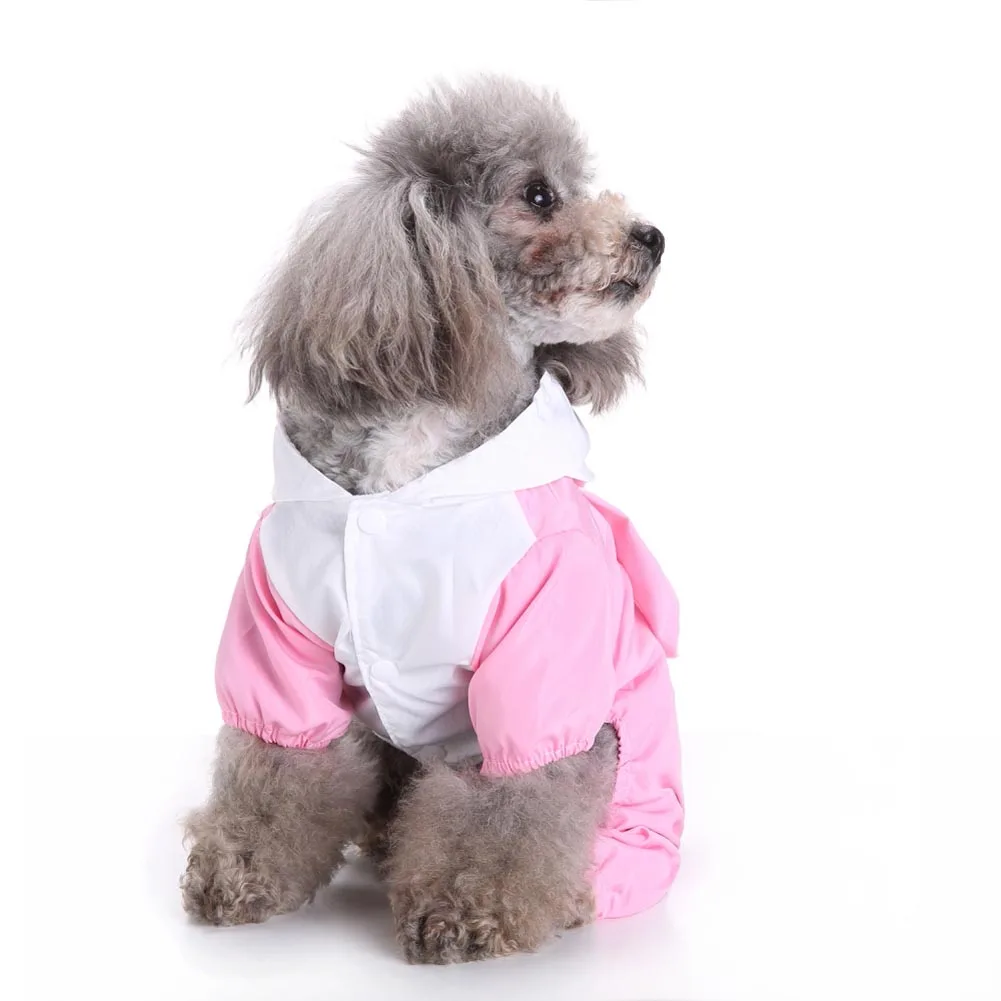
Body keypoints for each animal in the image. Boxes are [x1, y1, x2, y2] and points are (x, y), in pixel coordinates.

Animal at [181, 76, 683, 964]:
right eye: (539, 194)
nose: (650, 236)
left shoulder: (541, 667)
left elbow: (514, 801)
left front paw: (466, 907)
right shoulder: (279, 641)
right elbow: (276, 766)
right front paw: (240, 868)